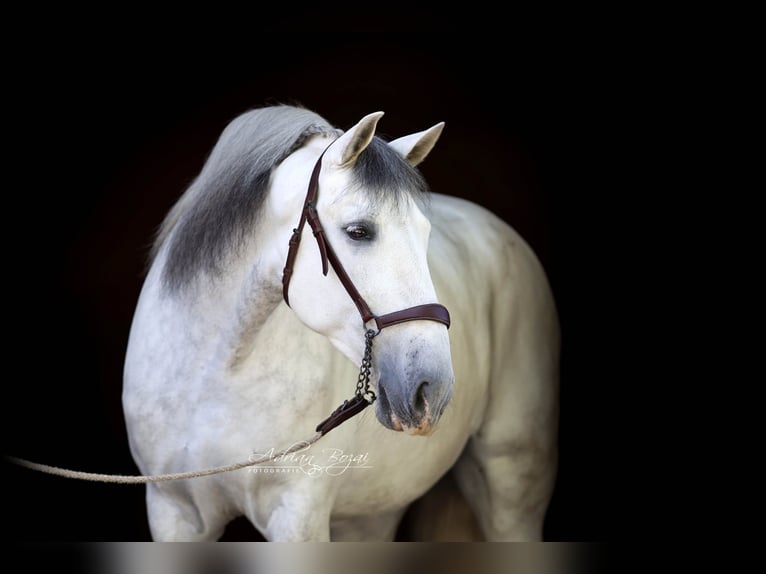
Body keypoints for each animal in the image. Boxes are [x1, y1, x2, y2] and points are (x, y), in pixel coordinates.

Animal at [122, 104, 560, 541]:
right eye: (358, 231)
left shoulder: (297, 515)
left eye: (425, 233)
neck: (212, 377)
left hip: (511, 488)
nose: (431, 389)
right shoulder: (172, 510)